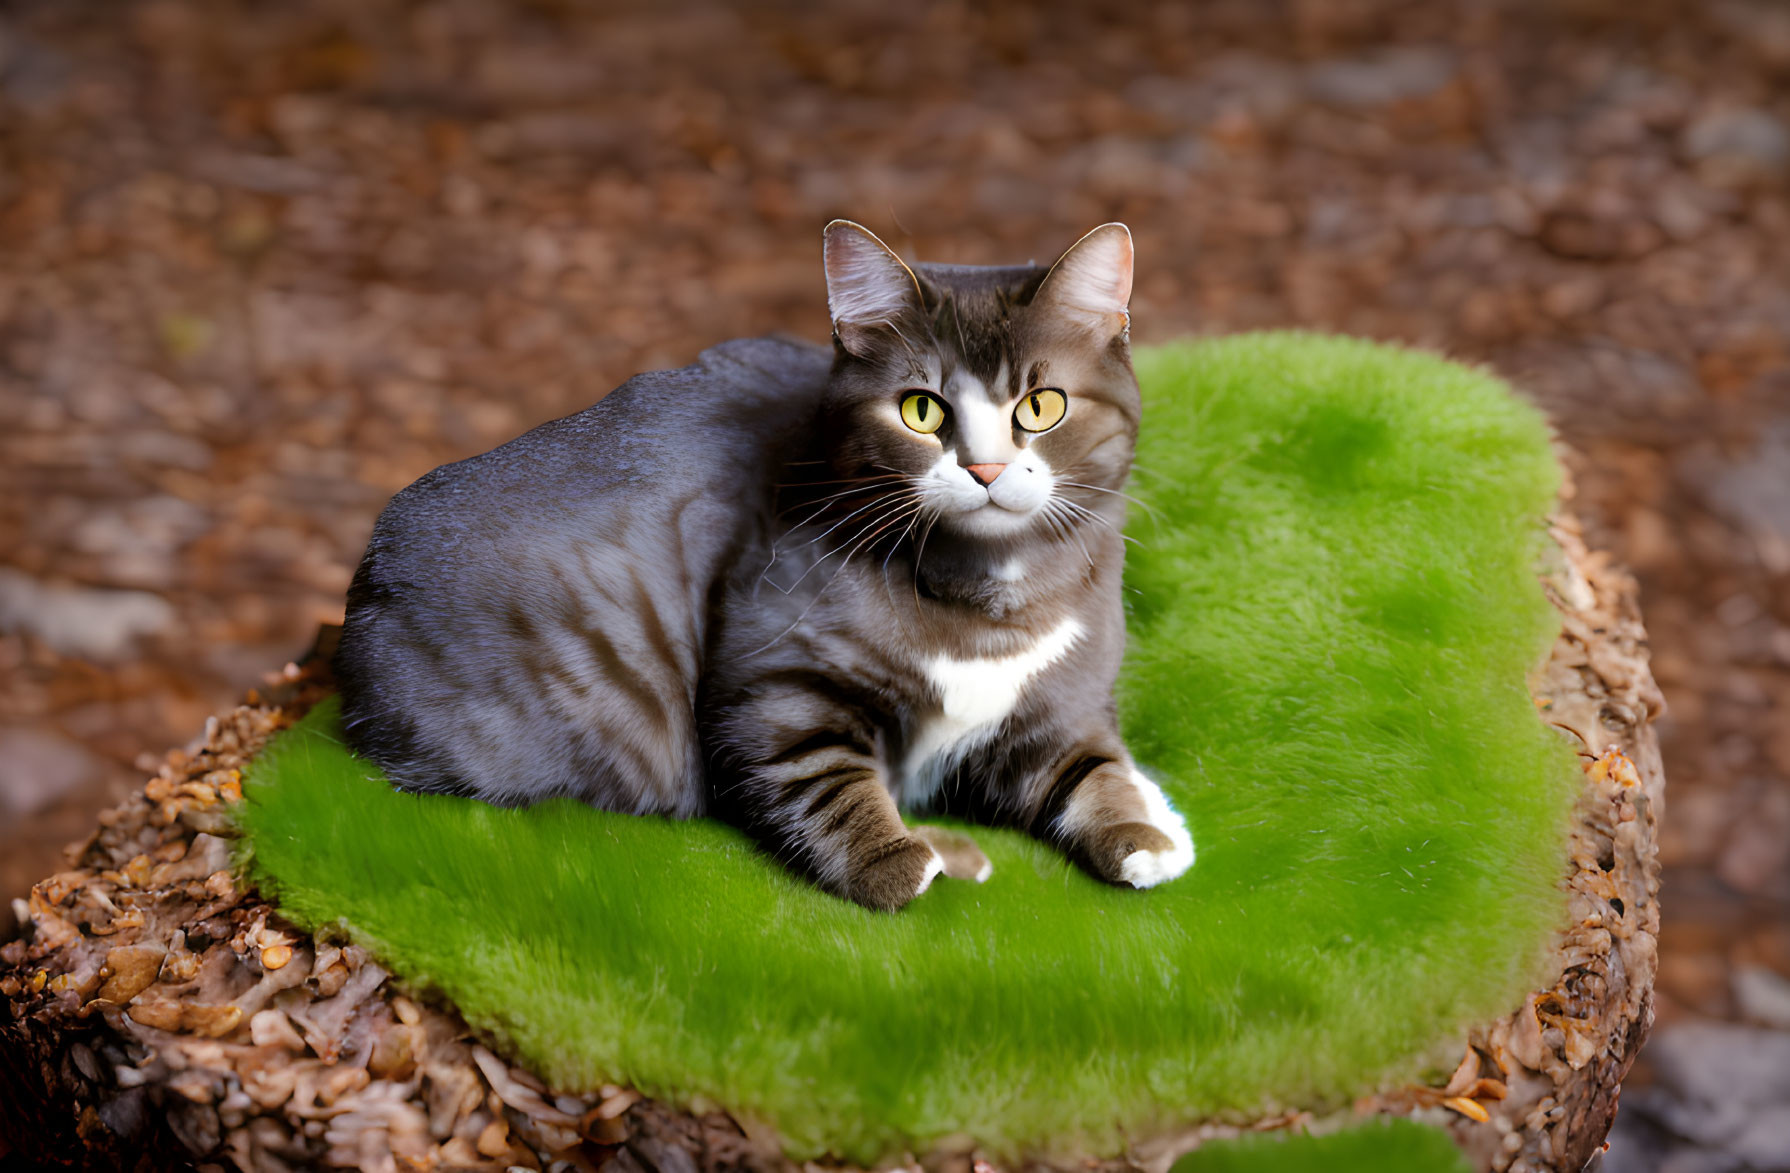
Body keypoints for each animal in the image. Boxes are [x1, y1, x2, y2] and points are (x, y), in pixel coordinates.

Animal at [338, 222, 1188, 916]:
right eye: (921, 409)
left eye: (1042, 406)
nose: (984, 468)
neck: (990, 594)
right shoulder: (772, 675)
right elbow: (813, 767)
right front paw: (897, 861)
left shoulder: (1059, 698)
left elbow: (1088, 763)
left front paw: (1146, 828)